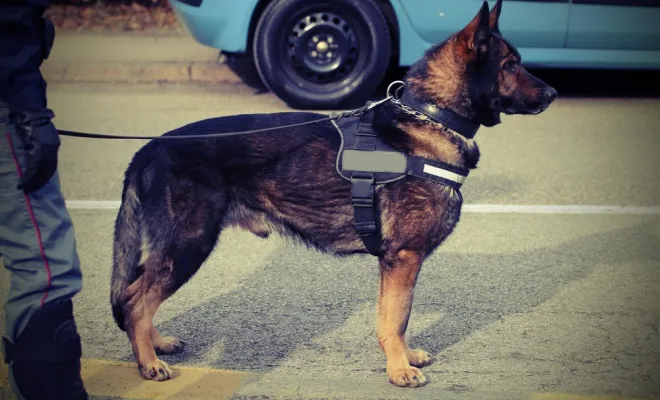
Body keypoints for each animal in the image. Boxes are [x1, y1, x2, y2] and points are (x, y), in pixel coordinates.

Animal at [112, 0, 556, 388]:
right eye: (510, 65)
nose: (553, 94)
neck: (431, 115)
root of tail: (150, 148)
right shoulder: (403, 258)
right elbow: (396, 319)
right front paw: (399, 370)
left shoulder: (398, 263)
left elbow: (395, 318)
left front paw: (404, 357)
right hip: (188, 245)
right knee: (135, 302)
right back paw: (148, 363)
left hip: (175, 249)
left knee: (135, 291)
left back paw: (154, 343)